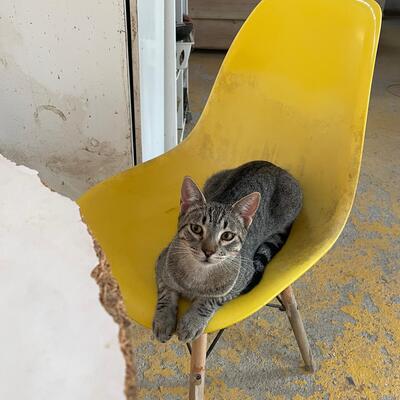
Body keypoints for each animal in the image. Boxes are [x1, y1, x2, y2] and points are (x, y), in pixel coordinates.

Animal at [153, 160, 302, 343]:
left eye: (227, 236)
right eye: (196, 228)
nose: (208, 251)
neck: (198, 276)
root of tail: (273, 166)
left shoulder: (239, 284)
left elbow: (209, 301)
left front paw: (192, 321)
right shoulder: (161, 264)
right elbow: (166, 294)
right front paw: (164, 320)